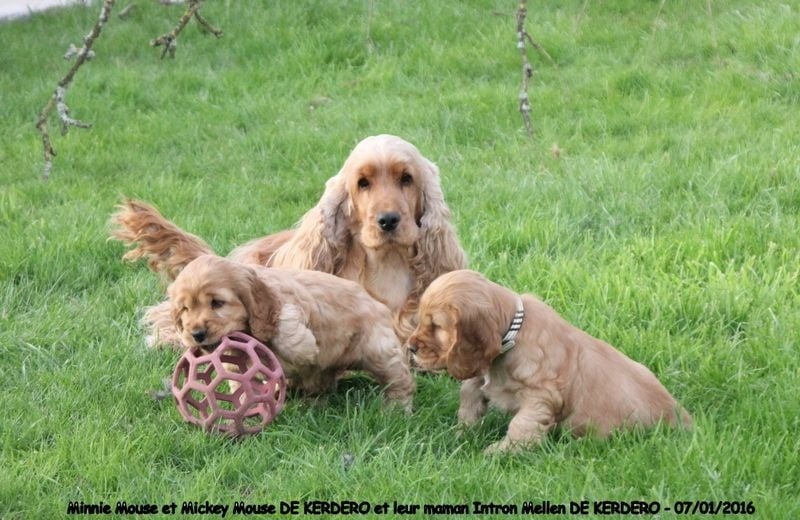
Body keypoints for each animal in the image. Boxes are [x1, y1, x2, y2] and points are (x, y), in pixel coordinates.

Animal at [171, 255, 416, 410]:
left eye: (217, 303)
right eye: (185, 309)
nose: (197, 334)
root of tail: (379, 304)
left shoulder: (287, 301)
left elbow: (286, 323)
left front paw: (304, 349)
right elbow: (238, 379)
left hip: (378, 348)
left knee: (399, 377)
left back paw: (397, 408)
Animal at [410, 270, 692, 452]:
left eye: (436, 326)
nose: (410, 348)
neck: (514, 333)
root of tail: (686, 421)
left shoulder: (541, 396)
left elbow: (521, 426)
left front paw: (497, 453)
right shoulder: (482, 370)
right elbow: (470, 395)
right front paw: (461, 435)